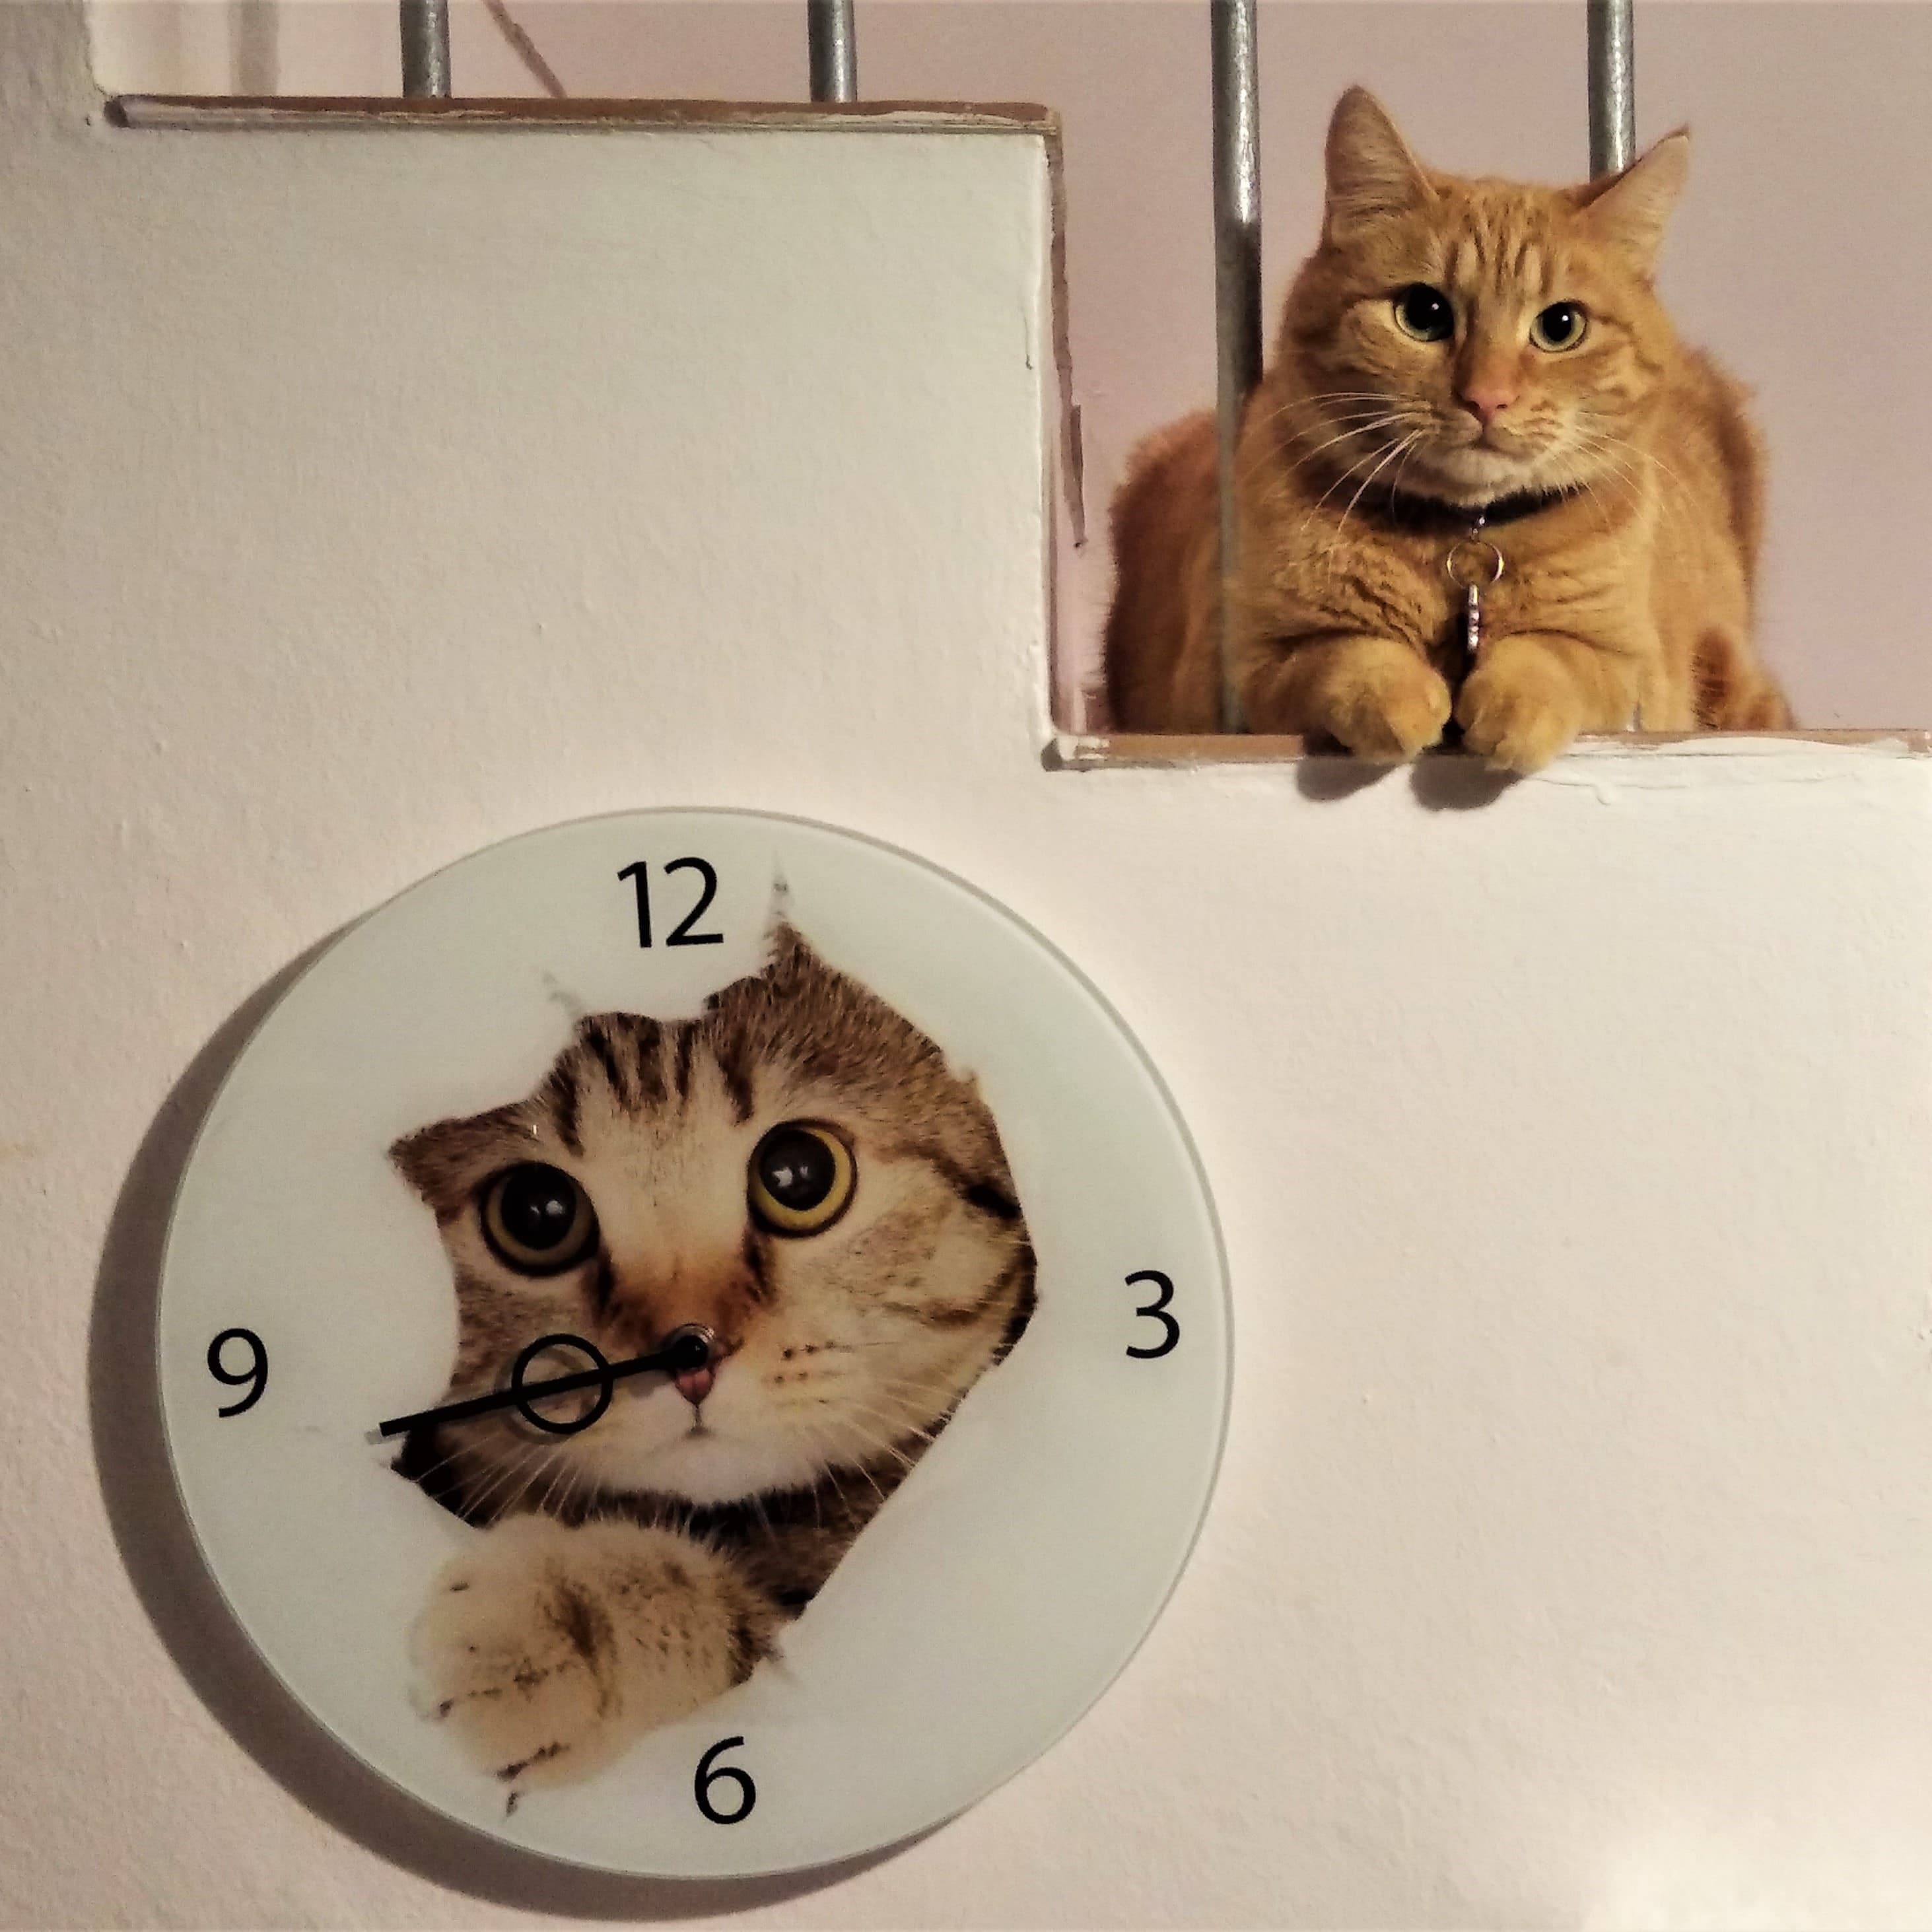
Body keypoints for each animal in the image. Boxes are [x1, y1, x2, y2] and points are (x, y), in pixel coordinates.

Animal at [1113, 88, 1785, 769]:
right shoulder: (1249, 667)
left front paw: (1512, 706)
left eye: (1561, 326)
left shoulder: (1622, 657)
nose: (1487, 398)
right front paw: (1399, 699)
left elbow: (1552, 655)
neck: (1465, 540)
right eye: (1423, 313)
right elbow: (1345, 652)